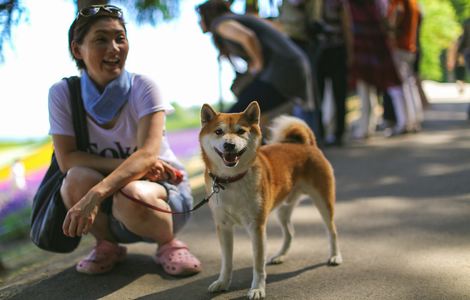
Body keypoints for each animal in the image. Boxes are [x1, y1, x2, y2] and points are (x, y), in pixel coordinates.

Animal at [199, 102, 342, 298]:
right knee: (290, 232)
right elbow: (226, 262)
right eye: (218, 131)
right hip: (283, 209)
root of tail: (307, 144)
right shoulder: (224, 226)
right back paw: (280, 256)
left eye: (241, 131)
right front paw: (222, 282)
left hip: (323, 202)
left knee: (332, 231)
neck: (232, 180)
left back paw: (335, 256)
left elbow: (258, 264)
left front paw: (257, 289)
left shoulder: (257, 227)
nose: (229, 145)